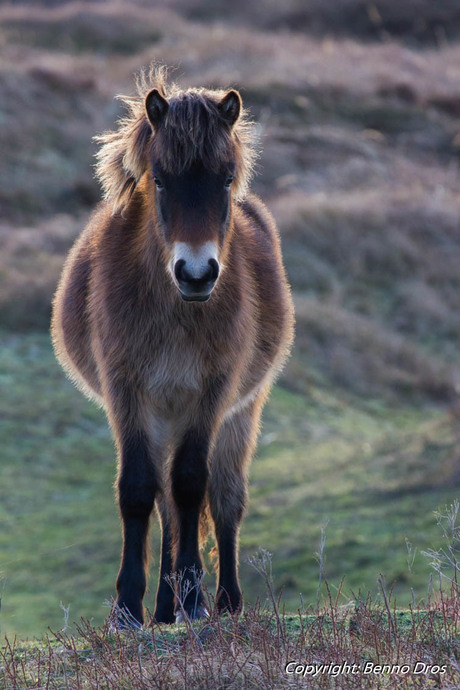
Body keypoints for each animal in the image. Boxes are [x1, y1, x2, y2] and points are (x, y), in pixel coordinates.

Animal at [51, 66, 294, 624]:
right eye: (159, 180)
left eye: (225, 179)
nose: (197, 273)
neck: (172, 309)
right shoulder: (127, 391)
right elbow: (139, 491)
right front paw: (128, 607)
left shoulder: (210, 395)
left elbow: (189, 485)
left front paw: (194, 597)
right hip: (163, 414)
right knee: (165, 506)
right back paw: (164, 608)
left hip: (237, 416)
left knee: (223, 501)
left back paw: (223, 600)